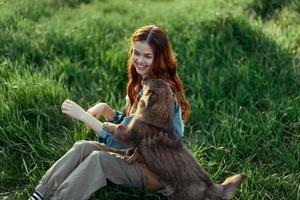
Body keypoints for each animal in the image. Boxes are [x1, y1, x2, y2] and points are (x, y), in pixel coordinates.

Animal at [103, 78, 246, 200]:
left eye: (150, 81)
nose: (144, 78)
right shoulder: (139, 148)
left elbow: (119, 129)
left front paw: (107, 125)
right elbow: (137, 154)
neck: (159, 118)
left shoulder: (130, 135)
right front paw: (129, 159)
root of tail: (210, 187)